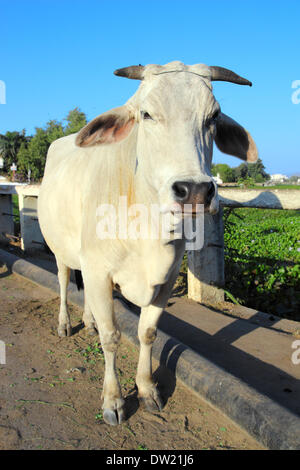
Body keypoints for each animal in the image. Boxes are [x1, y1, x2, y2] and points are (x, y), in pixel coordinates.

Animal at [37, 60, 258, 424]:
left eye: (213, 116)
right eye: (146, 114)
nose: (194, 191)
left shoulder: (164, 281)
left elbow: (147, 332)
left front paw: (147, 389)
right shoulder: (100, 272)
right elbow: (112, 337)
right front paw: (113, 400)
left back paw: (88, 322)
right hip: (60, 251)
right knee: (64, 281)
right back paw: (65, 324)